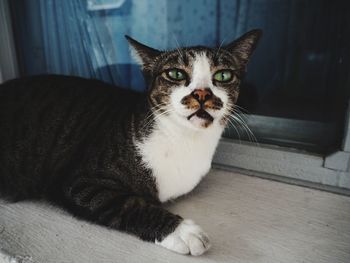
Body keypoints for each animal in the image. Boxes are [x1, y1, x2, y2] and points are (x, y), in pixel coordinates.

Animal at [0, 28, 262, 256]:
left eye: (223, 75)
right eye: (175, 74)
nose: (202, 94)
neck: (185, 140)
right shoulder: (79, 182)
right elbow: (132, 204)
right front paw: (185, 232)